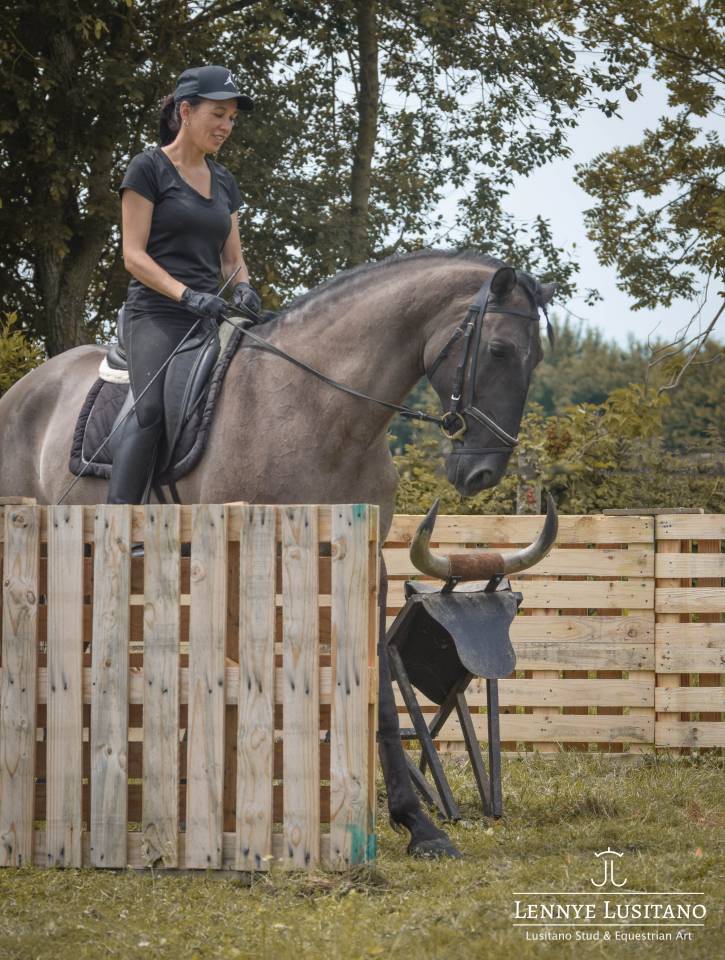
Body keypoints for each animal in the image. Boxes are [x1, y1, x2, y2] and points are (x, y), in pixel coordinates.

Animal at [0, 249, 554, 856]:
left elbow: (380, 698)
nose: (482, 472)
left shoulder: (368, 567)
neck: (321, 408)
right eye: (498, 350)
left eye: (536, 358)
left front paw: (418, 826)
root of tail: (23, 389)